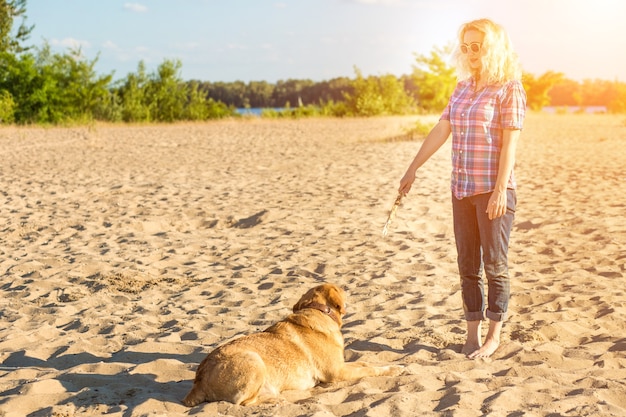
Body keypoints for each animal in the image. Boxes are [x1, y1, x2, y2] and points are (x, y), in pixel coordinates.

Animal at [183, 282, 402, 404]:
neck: (317, 310)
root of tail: (199, 380)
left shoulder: (342, 365)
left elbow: (365, 363)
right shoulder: (337, 372)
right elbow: (371, 370)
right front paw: (393, 370)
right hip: (253, 359)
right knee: (242, 402)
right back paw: (273, 400)